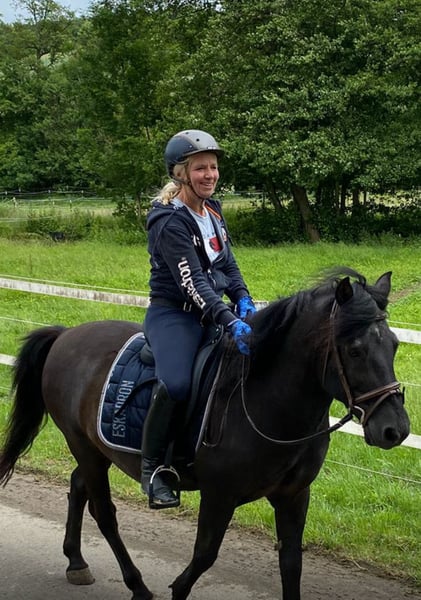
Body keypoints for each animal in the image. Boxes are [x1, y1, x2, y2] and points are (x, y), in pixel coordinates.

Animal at [0, 267, 410, 600]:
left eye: (393, 344)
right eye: (354, 350)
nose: (396, 429)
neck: (264, 398)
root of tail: (66, 335)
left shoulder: (294, 496)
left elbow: (291, 564)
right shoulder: (219, 495)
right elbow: (204, 557)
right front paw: (175, 589)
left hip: (95, 451)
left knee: (78, 487)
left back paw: (76, 562)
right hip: (83, 445)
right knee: (104, 513)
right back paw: (137, 585)